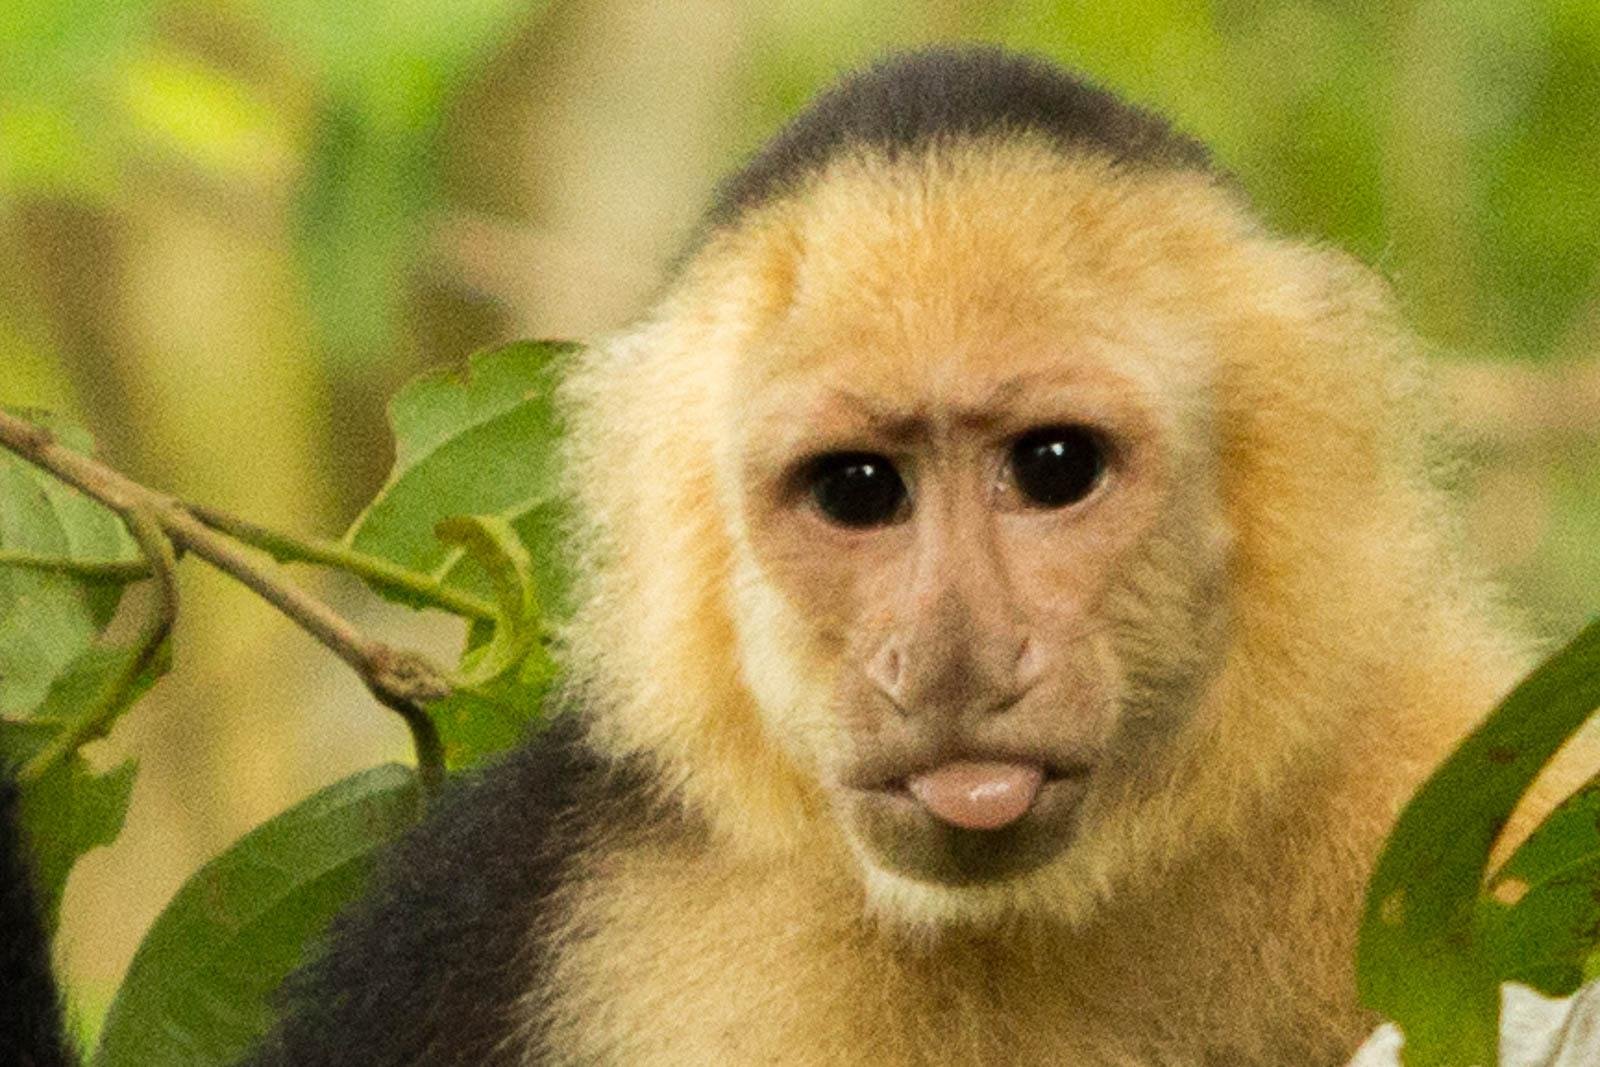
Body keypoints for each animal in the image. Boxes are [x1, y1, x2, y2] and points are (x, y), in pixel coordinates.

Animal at [3, 45, 1549, 1066]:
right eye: (859, 491)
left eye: (1053, 468)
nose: (950, 653)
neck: (1050, 910)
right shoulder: (555, 898)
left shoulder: (1452, 777)